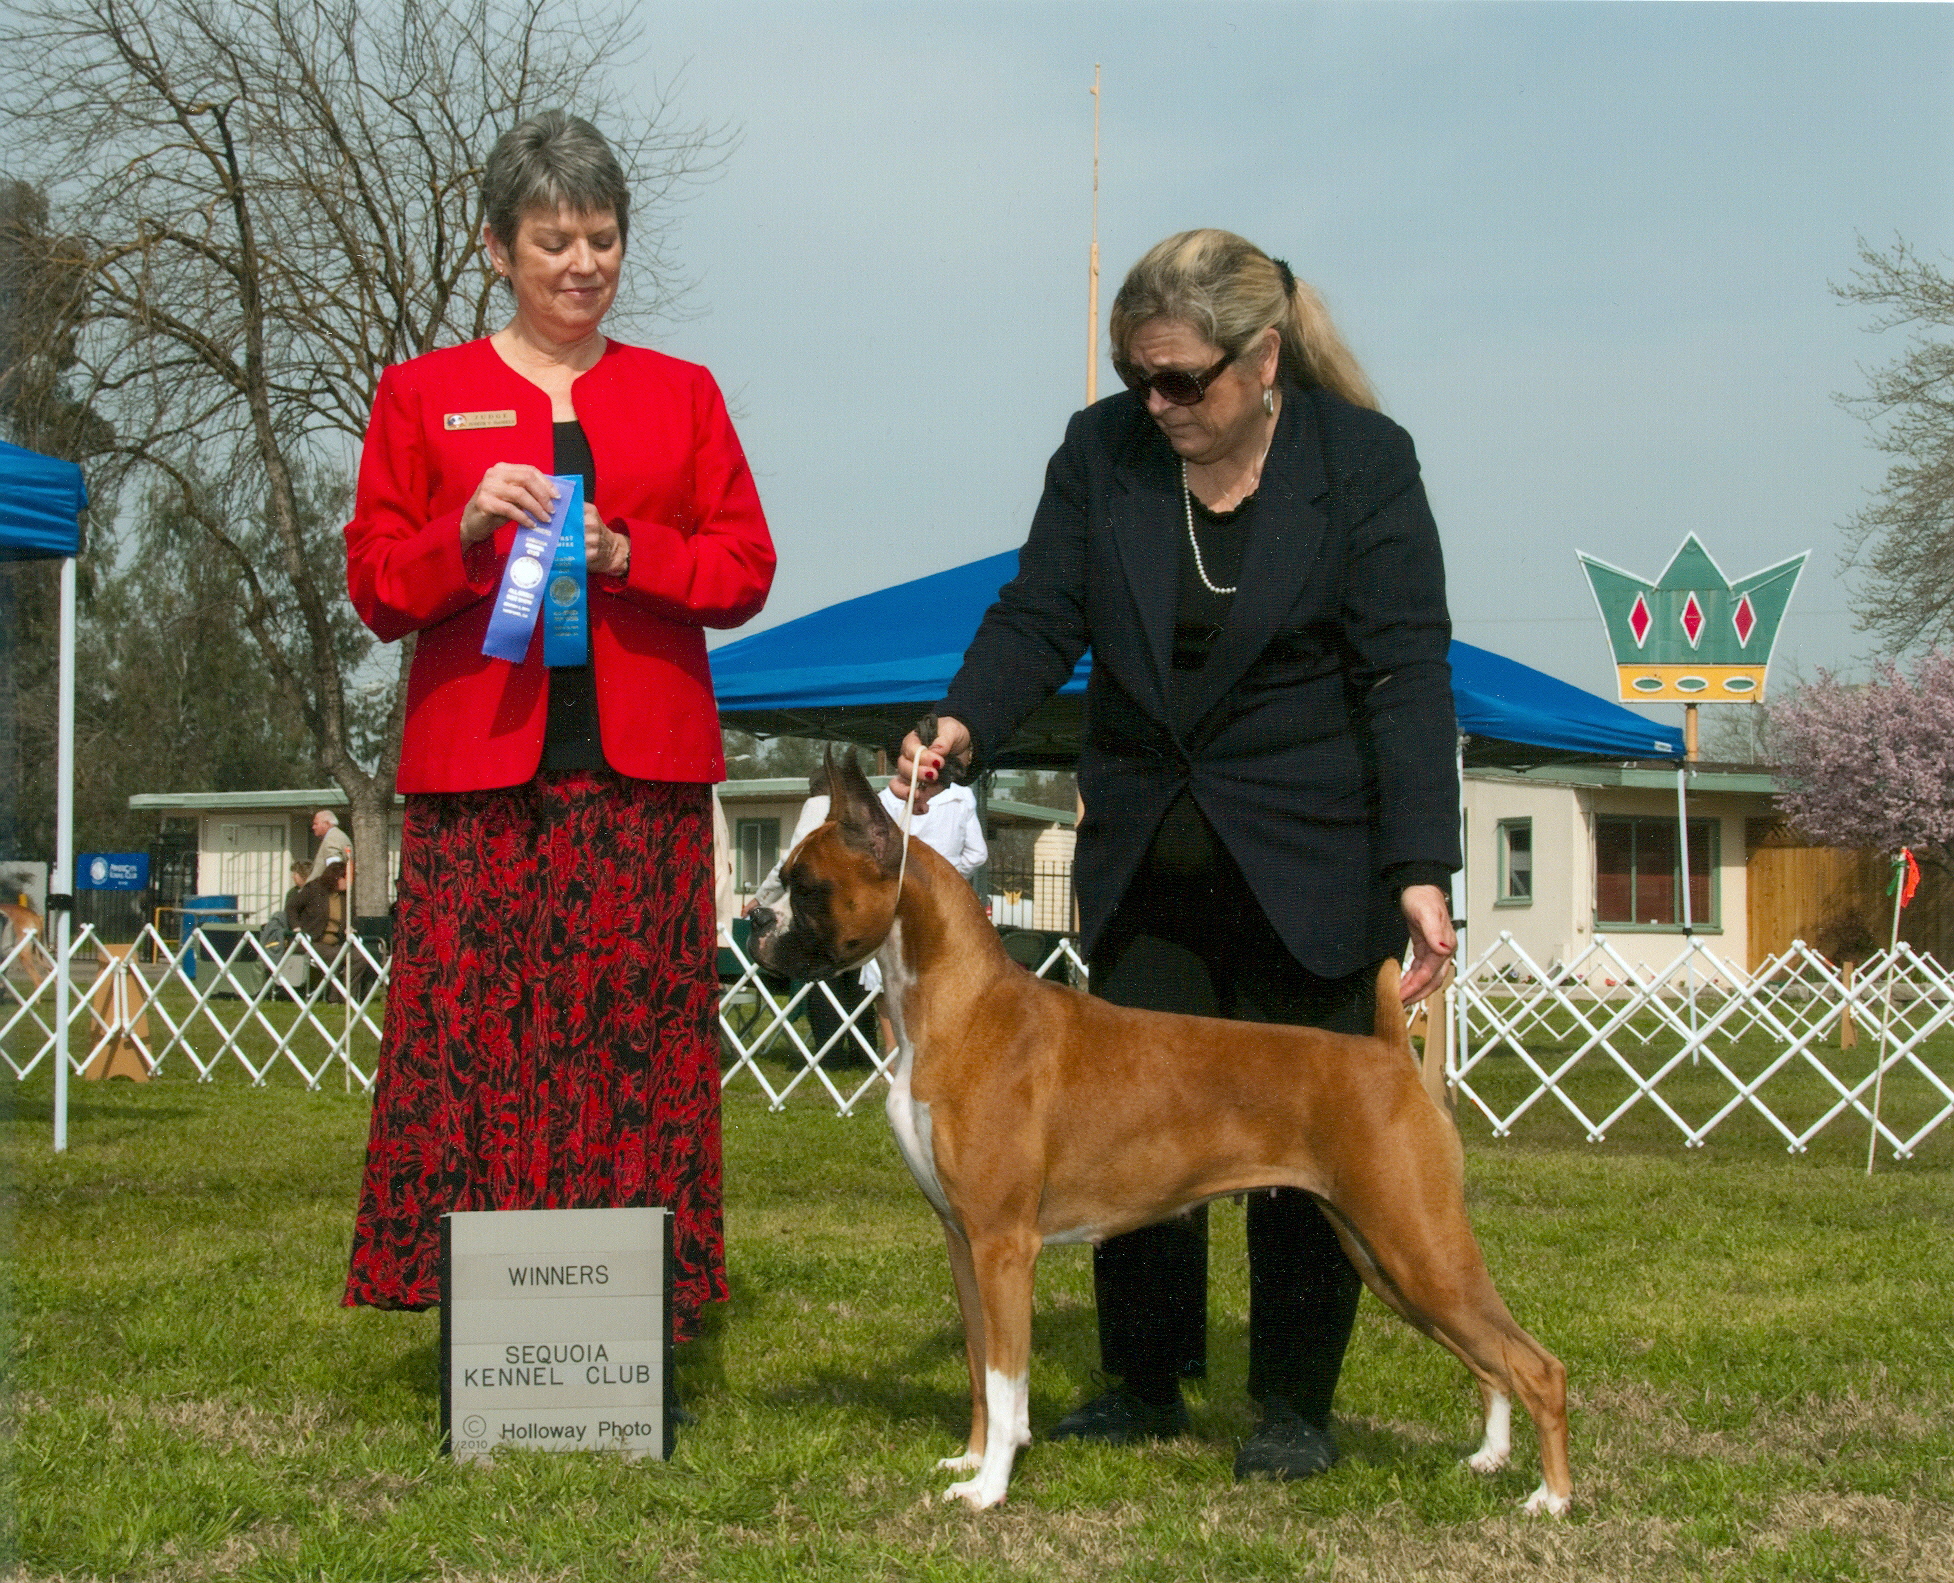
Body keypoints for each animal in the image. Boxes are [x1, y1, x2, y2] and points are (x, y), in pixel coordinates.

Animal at [746, 758, 1571, 1508]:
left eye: (804, 882)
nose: (756, 918)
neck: (960, 1005)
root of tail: (1391, 1051)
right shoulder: (962, 1241)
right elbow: (981, 1371)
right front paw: (970, 1459)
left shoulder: (1004, 1247)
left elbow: (1008, 1381)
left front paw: (990, 1487)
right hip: (1387, 1256)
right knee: (1489, 1360)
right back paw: (1490, 1457)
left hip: (1419, 1245)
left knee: (1536, 1364)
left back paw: (1551, 1498)